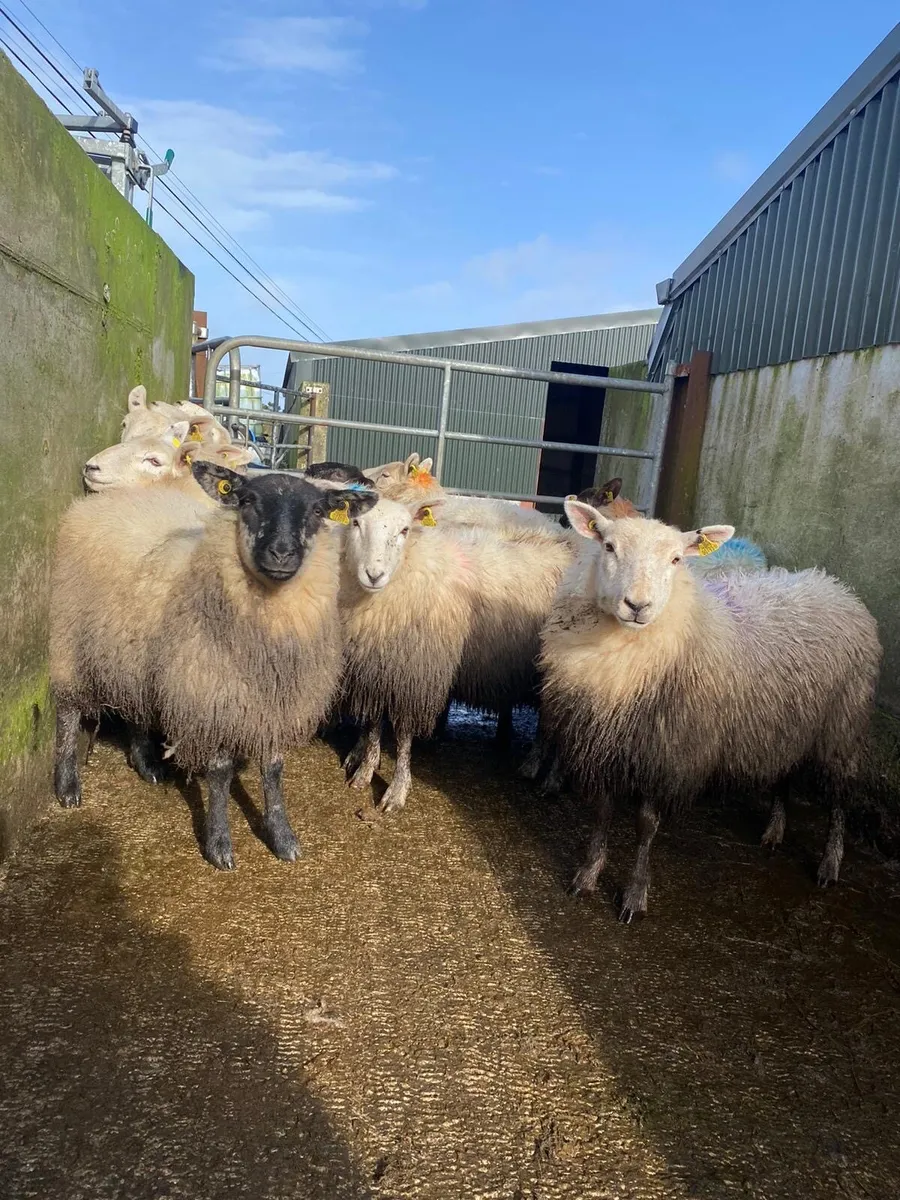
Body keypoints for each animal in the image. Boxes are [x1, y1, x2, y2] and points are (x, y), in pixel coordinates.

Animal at [50, 464, 377, 869]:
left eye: (318, 510)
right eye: (248, 500)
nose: (281, 553)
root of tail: (97, 502)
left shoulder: (277, 703)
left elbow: (273, 769)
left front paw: (282, 837)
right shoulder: (212, 697)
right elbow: (220, 774)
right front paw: (219, 844)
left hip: (132, 651)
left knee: (135, 705)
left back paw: (146, 764)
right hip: (70, 637)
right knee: (67, 710)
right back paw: (67, 785)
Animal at [337, 496, 473, 813]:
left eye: (404, 530)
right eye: (355, 522)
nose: (374, 575)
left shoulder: (411, 677)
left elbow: (403, 736)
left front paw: (397, 791)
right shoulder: (374, 671)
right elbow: (374, 726)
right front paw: (365, 772)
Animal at [539, 499, 881, 923]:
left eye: (675, 559)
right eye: (608, 547)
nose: (637, 606)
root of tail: (836, 586)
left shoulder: (667, 752)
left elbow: (645, 826)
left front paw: (635, 896)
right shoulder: (608, 743)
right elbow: (602, 812)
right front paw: (587, 876)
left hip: (842, 725)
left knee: (840, 799)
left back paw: (830, 864)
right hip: (789, 723)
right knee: (785, 775)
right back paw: (775, 832)